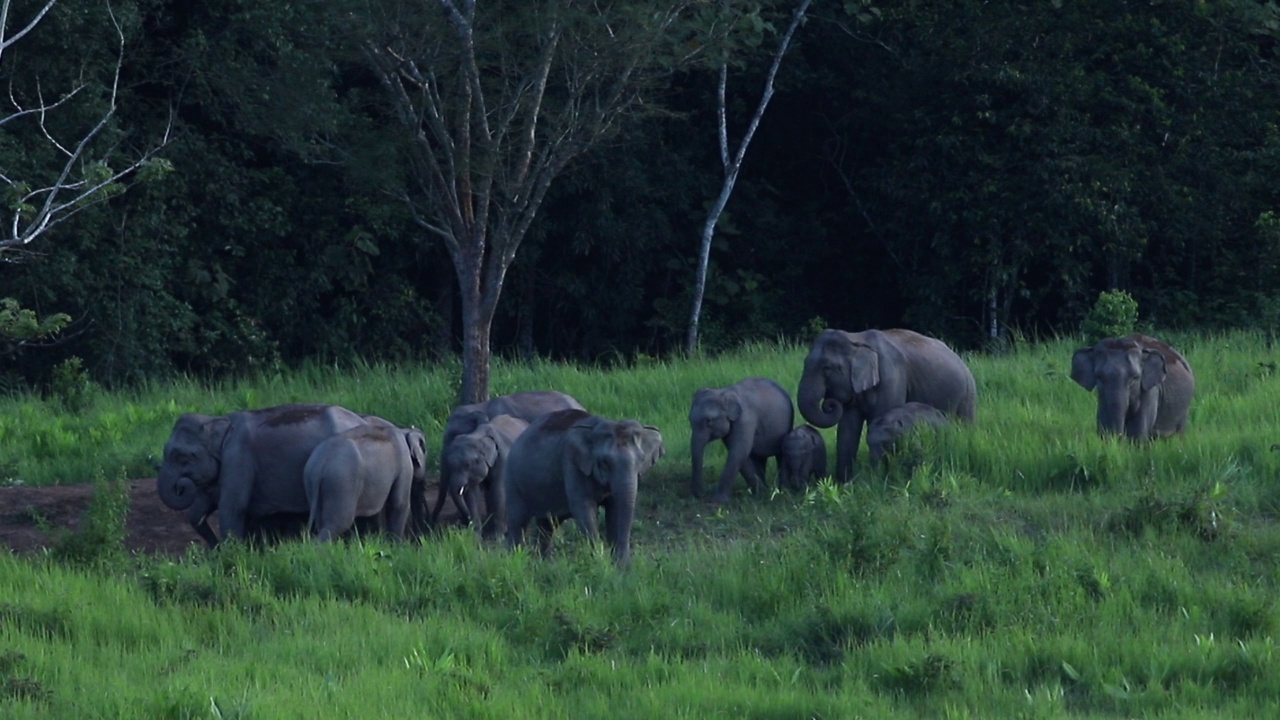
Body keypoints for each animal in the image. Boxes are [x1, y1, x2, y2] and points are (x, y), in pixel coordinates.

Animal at [156, 404, 371, 543]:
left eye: (182, 458)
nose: (181, 485)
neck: (219, 422)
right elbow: (196, 512)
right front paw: (216, 550)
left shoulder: (238, 458)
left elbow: (232, 506)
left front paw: (230, 553)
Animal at [501, 407, 665, 563]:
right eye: (604, 462)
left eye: (641, 459)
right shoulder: (572, 464)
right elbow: (584, 507)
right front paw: (599, 562)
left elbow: (615, 508)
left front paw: (620, 566)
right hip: (512, 480)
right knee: (518, 521)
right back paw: (514, 558)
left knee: (547, 524)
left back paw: (543, 563)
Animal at [793, 327, 972, 479]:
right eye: (804, 362)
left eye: (827, 367)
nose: (829, 403)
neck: (856, 338)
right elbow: (847, 427)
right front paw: (845, 483)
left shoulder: (892, 377)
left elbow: (880, 416)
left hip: (968, 393)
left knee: (964, 424)